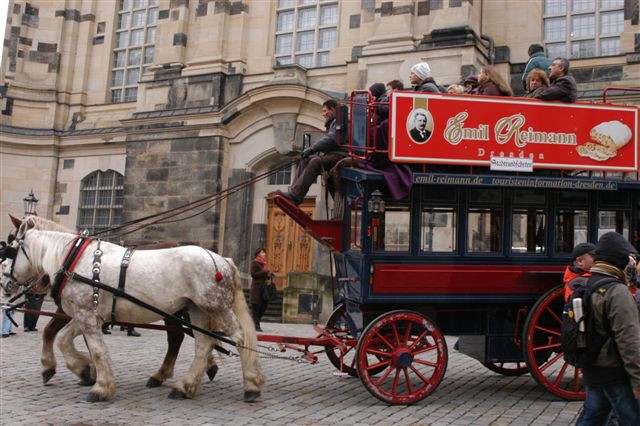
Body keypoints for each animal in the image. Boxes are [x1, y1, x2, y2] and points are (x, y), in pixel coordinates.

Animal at [3, 220, 264, 402]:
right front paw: (84, 370)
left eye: (9, 251)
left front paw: (100, 387)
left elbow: (96, 350)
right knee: (203, 344)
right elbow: (64, 340)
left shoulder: (87, 315)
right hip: (196, 309)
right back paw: (185, 386)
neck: (75, 260)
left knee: (239, 338)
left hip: (215, 307)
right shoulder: (86, 314)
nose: (5, 284)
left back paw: (251, 386)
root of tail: (222, 259)